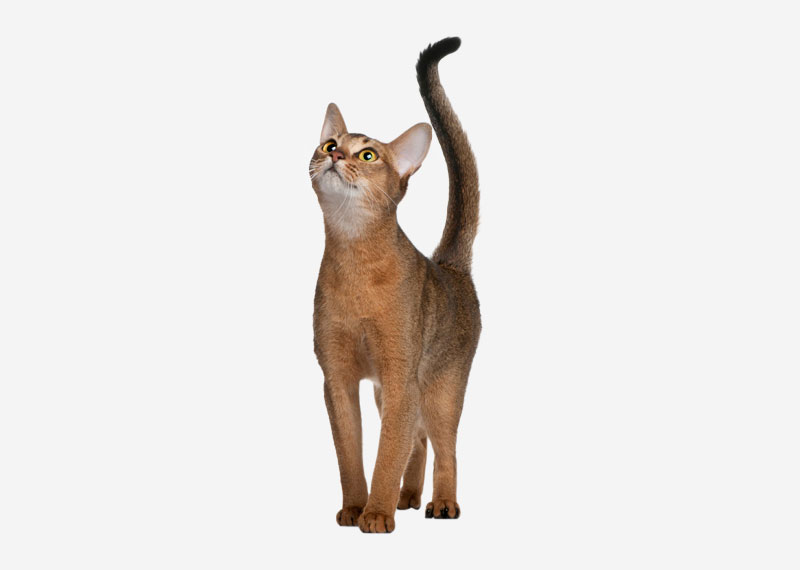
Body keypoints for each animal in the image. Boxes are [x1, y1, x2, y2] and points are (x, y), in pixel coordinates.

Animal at [308, 37, 480, 533]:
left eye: (369, 155)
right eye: (329, 142)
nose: (335, 156)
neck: (354, 257)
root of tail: (449, 266)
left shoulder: (401, 374)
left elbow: (387, 452)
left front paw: (377, 514)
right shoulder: (338, 378)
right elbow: (352, 453)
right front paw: (354, 508)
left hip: (441, 387)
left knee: (445, 447)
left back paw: (441, 503)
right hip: (389, 393)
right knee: (418, 440)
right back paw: (408, 497)